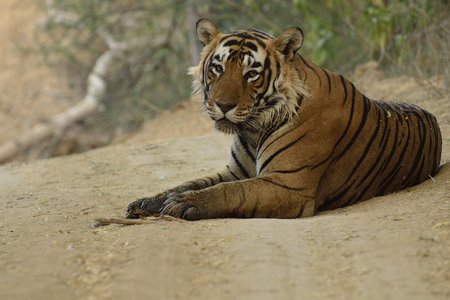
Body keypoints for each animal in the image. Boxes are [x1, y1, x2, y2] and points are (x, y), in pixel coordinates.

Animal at [126, 18, 442, 220]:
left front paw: (184, 204)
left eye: (251, 73)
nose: (223, 105)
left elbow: (231, 192)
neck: (253, 129)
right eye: (217, 68)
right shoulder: (235, 171)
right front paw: (148, 201)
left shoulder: (288, 184)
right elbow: (190, 182)